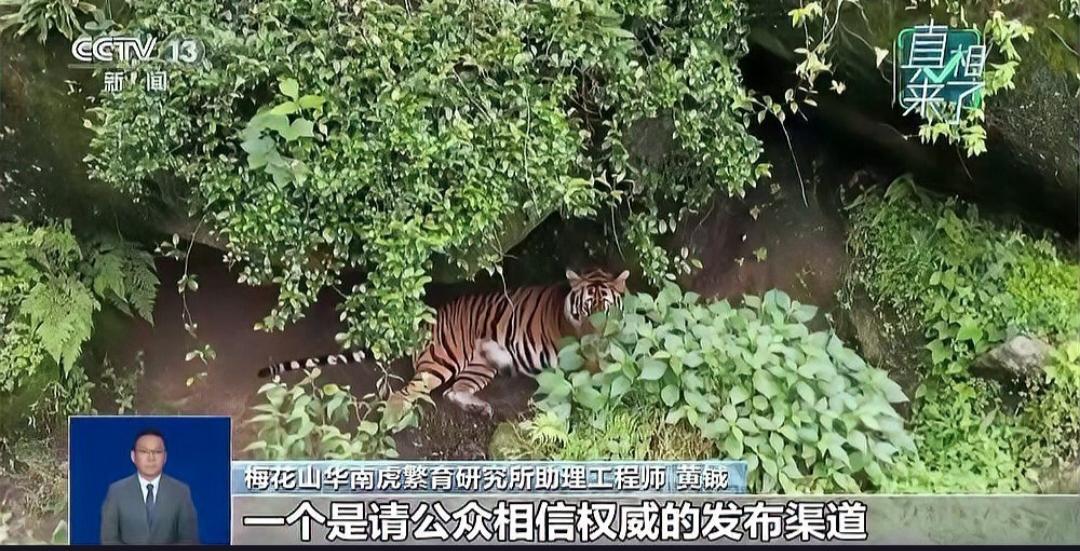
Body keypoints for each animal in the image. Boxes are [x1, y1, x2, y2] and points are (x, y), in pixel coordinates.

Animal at [257, 268, 630, 418]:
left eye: (607, 308)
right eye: (587, 308)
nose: (596, 332)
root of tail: (426, 318)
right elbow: (600, 375)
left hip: (480, 366)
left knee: (454, 392)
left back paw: (480, 408)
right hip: (440, 362)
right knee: (403, 394)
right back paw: (392, 421)